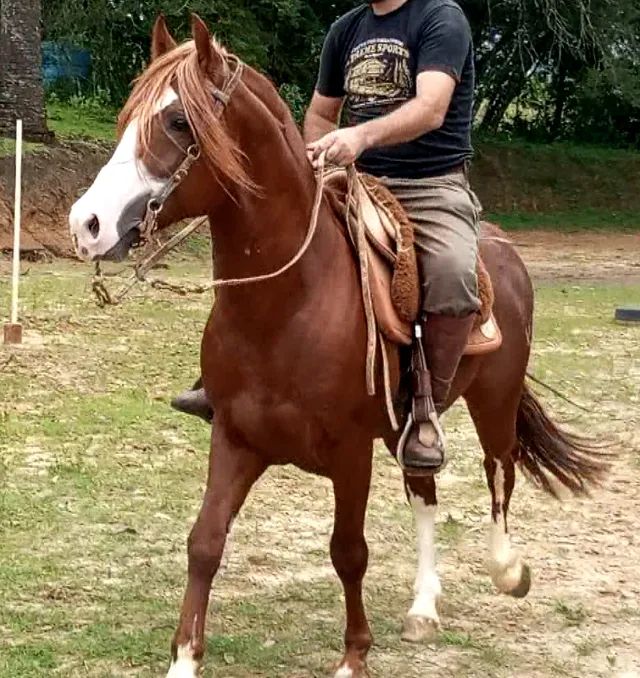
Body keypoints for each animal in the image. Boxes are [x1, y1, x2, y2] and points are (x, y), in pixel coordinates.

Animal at [68, 14, 607, 678]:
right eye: (126, 117)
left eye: (177, 122)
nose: (86, 224)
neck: (287, 306)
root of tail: (504, 252)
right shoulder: (236, 439)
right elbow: (204, 542)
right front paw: (185, 659)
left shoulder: (351, 454)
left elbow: (348, 551)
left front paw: (354, 656)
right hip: (409, 429)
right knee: (426, 491)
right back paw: (423, 607)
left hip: (495, 399)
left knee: (499, 470)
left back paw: (507, 570)